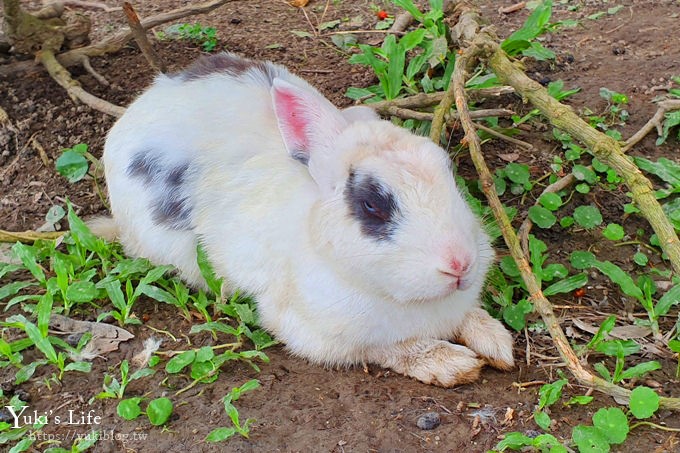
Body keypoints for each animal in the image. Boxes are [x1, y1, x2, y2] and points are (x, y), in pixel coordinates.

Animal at [95, 52, 512, 384]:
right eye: (372, 204)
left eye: (448, 171)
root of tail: (137, 110)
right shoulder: (322, 336)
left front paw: (497, 342)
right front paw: (454, 364)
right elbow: (393, 349)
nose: (460, 264)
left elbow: (469, 317)